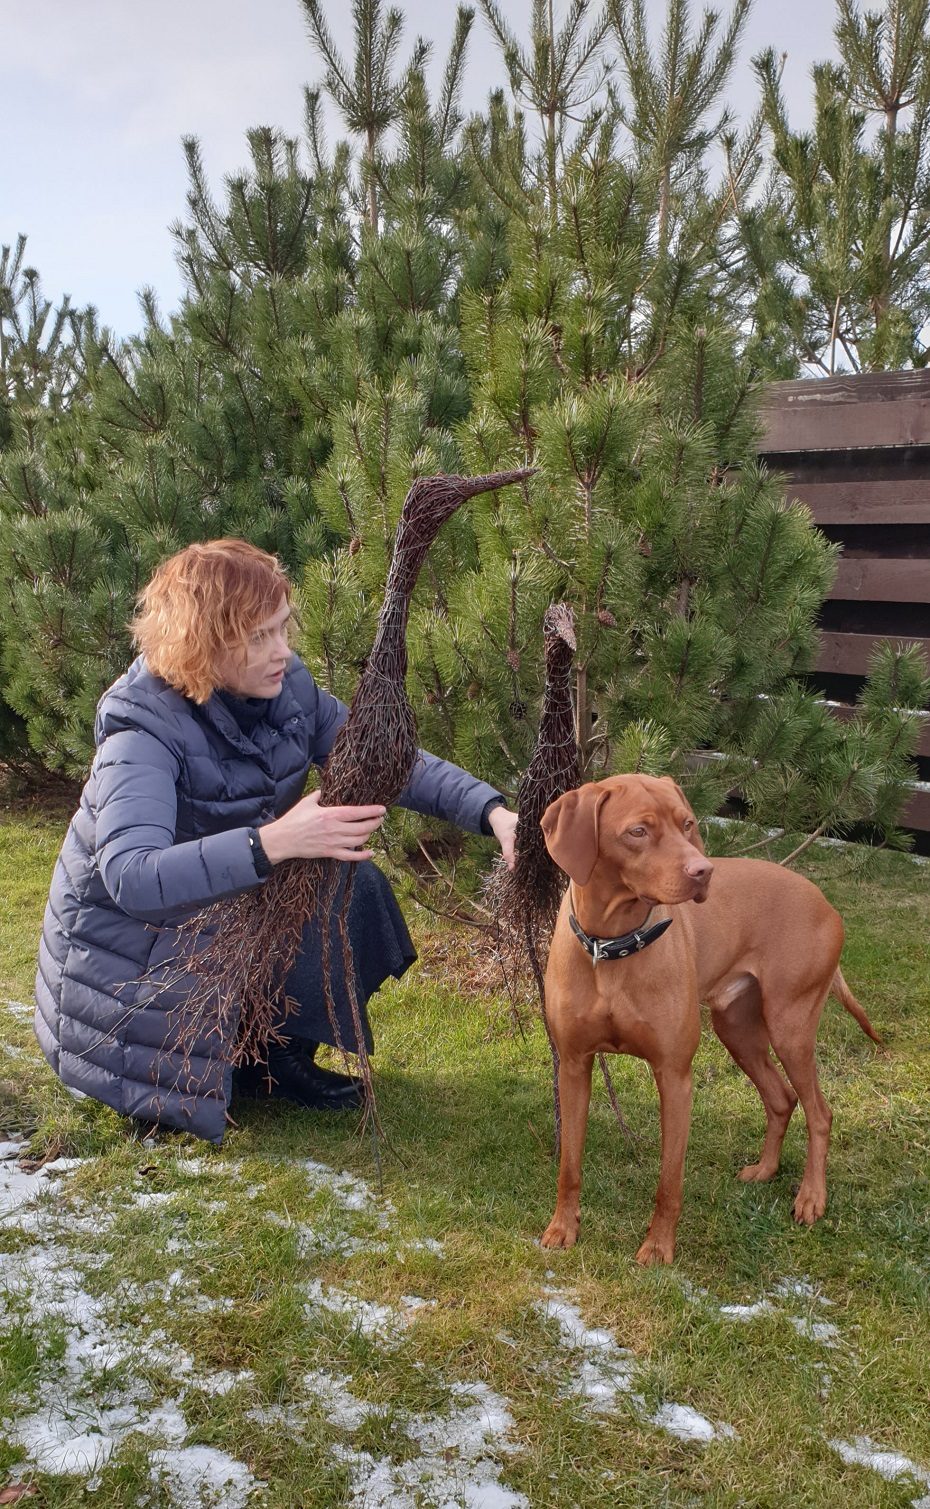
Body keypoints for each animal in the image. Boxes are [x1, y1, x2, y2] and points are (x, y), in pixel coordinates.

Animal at [537, 778, 881, 1261]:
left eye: (687, 824)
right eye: (638, 831)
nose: (704, 872)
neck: (613, 944)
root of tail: (825, 902)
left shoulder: (674, 1076)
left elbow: (669, 1182)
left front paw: (659, 1248)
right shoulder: (573, 1065)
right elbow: (570, 1165)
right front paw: (562, 1228)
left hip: (791, 1027)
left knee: (820, 1112)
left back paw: (811, 1197)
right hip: (737, 1029)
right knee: (781, 1099)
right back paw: (765, 1170)